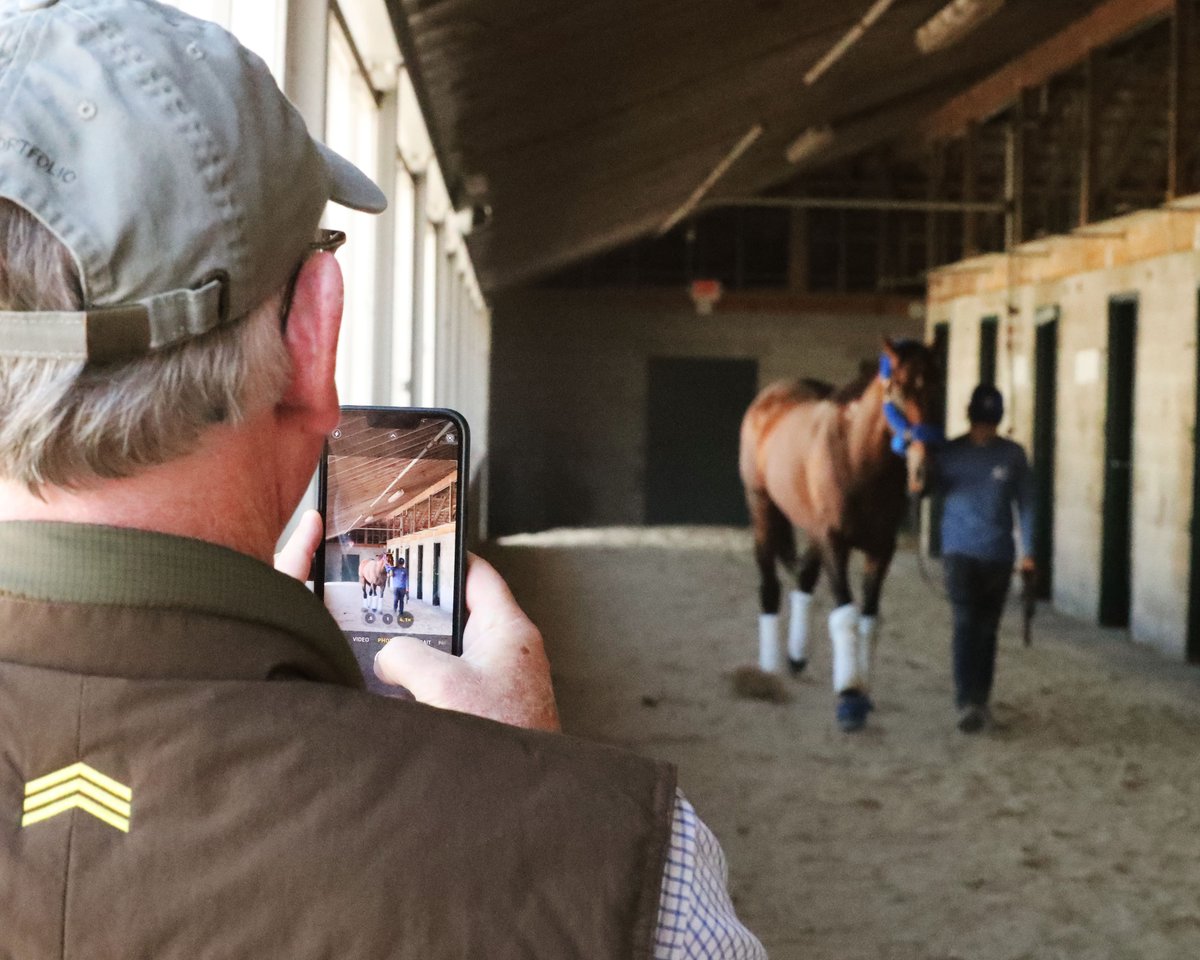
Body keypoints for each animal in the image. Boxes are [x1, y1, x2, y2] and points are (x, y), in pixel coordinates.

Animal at [738, 338, 941, 731]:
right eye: (898, 389)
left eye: (938, 388)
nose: (925, 472)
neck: (857, 457)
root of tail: (771, 395)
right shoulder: (836, 543)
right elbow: (846, 615)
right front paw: (849, 697)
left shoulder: (881, 548)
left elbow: (869, 620)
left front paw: (862, 690)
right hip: (762, 508)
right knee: (770, 585)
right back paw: (770, 668)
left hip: (811, 528)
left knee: (804, 577)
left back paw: (797, 655)